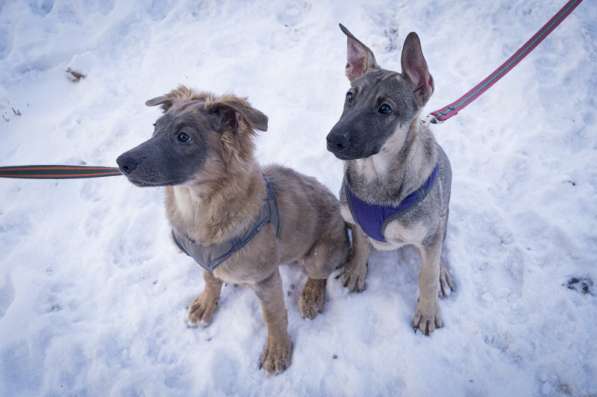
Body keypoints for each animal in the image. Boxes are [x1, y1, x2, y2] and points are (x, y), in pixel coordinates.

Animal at [117, 86, 350, 372]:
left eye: (183, 137)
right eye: (155, 127)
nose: (121, 162)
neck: (198, 208)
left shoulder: (265, 278)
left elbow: (273, 315)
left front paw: (277, 350)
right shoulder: (206, 261)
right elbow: (209, 279)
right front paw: (206, 304)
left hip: (320, 254)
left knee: (319, 274)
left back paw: (311, 295)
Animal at [328, 24, 454, 334]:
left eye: (385, 108)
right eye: (350, 96)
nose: (333, 140)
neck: (376, 174)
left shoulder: (429, 234)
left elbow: (428, 274)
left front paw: (427, 311)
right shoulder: (353, 219)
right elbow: (360, 245)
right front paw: (356, 270)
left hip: (441, 216)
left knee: (440, 248)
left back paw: (443, 273)